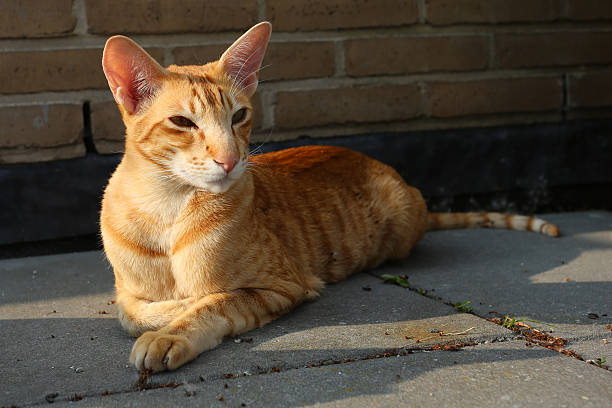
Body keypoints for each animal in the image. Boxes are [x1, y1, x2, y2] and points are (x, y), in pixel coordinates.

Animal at [99, 22, 560, 372]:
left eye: (239, 116)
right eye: (182, 122)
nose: (230, 160)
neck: (167, 209)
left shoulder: (281, 286)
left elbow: (214, 304)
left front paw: (173, 328)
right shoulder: (125, 293)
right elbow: (131, 313)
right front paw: (170, 309)